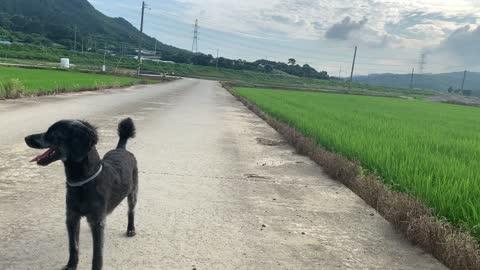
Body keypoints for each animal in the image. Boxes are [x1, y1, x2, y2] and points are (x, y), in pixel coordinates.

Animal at [24, 118, 138, 270]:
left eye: (53, 132)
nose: (26, 138)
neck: (83, 182)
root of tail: (121, 149)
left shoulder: (96, 222)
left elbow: (97, 255)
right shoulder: (72, 218)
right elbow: (73, 246)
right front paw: (71, 265)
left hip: (133, 193)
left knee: (131, 211)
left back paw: (131, 229)